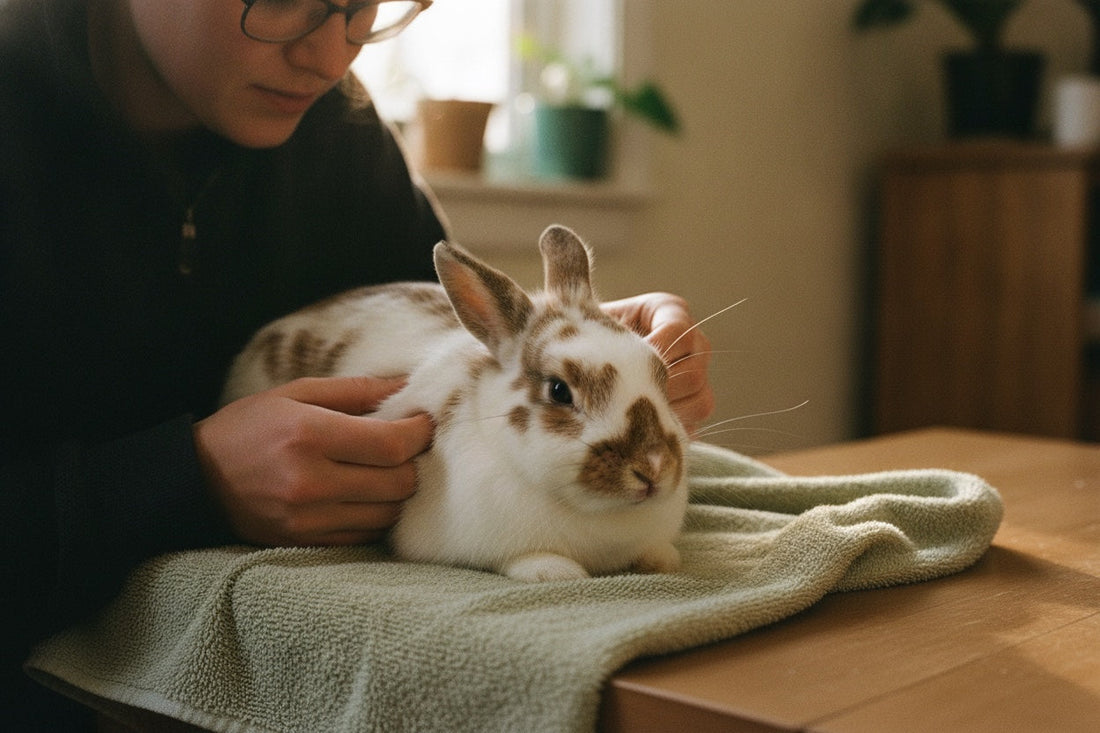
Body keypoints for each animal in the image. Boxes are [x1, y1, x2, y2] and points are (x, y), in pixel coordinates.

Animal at [221, 225, 689, 582]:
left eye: (661, 375)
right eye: (560, 391)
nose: (652, 468)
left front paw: (663, 558)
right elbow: (526, 560)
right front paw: (555, 571)